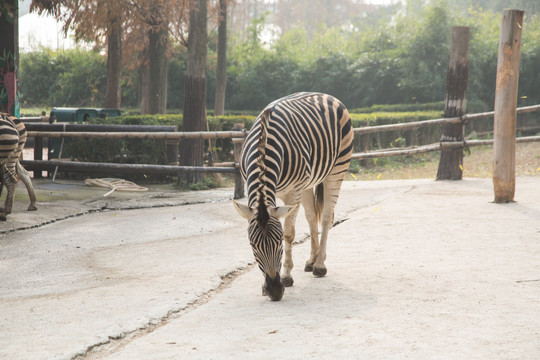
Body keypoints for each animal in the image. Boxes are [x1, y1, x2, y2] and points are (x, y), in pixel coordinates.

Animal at [233, 92, 354, 300]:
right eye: (253, 245)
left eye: (278, 243)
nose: (274, 291)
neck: (264, 145)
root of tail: (327, 95)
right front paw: (264, 286)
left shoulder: (292, 193)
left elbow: (290, 233)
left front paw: (286, 276)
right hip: (307, 183)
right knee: (312, 216)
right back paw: (312, 260)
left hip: (336, 170)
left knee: (326, 217)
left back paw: (320, 265)